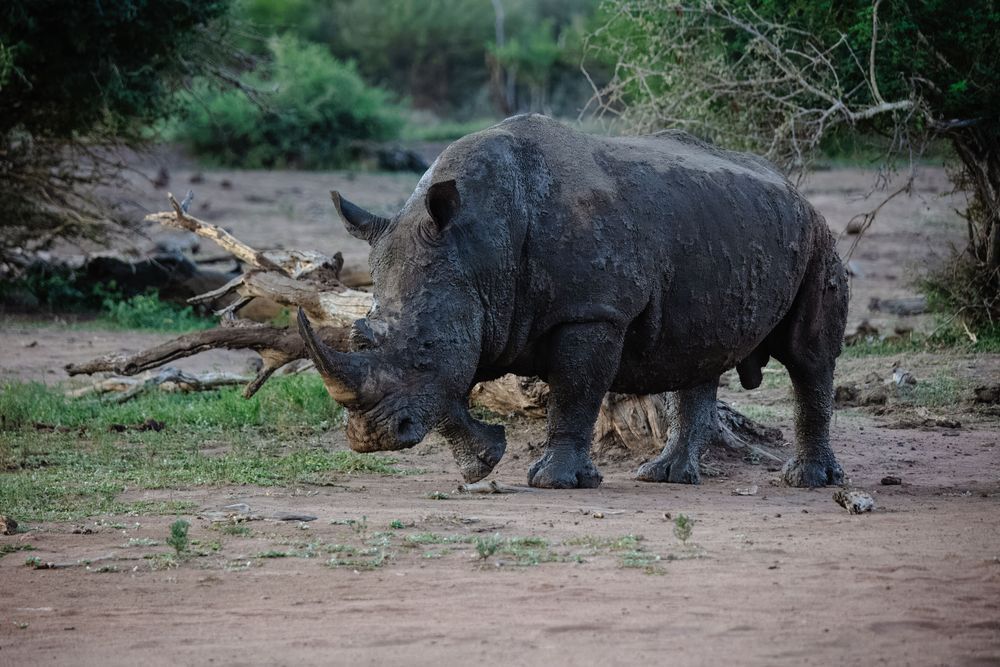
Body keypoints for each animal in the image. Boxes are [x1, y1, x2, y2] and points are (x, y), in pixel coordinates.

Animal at [298, 114, 848, 489]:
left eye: (425, 346)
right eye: (361, 336)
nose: (372, 439)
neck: (479, 246)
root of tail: (794, 189)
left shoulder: (593, 310)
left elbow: (574, 390)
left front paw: (553, 480)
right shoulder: (471, 302)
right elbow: (450, 393)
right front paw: (482, 463)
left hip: (817, 236)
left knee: (809, 358)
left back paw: (807, 480)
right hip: (721, 226)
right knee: (701, 350)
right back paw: (665, 475)